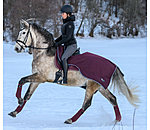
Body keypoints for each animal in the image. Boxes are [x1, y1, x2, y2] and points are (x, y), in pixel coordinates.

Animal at [8, 19, 140, 124]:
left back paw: (70, 120)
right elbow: (27, 95)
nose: (16, 48)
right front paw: (15, 111)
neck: (44, 52)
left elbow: (22, 80)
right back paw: (117, 120)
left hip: (91, 86)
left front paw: (18, 99)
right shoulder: (37, 79)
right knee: (112, 99)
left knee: (87, 103)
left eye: (23, 33)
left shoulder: (41, 77)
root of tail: (113, 65)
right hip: (100, 86)